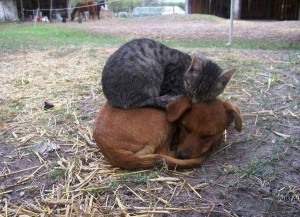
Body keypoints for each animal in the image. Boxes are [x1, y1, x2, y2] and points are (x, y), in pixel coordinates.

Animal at [92, 96, 243, 170]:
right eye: (184, 127)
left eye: (207, 135)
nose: (182, 156)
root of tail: (109, 147)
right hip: (162, 117)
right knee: (163, 152)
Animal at [101, 37, 234, 110]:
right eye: (191, 88)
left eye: (207, 96)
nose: (194, 102)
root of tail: (112, 100)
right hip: (151, 68)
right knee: (141, 102)